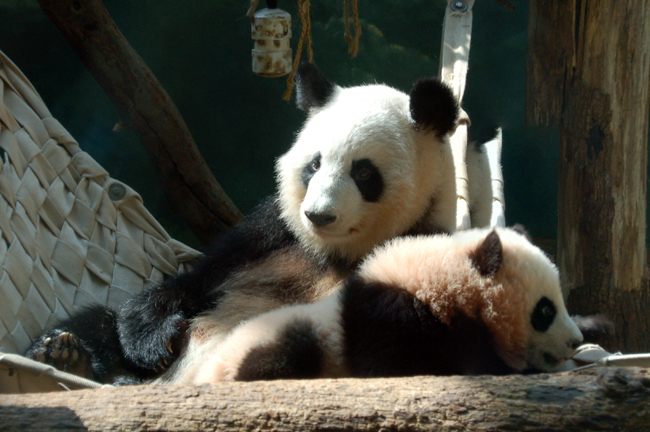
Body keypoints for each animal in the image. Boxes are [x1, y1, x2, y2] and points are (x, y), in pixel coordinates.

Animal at [25, 62, 458, 384]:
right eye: (314, 165)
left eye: (364, 173)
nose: (319, 215)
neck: (333, 252)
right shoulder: (271, 233)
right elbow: (197, 278)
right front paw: (150, 340)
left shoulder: (421, 253)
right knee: (97, 321)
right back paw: (66, 354)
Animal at [178, 228, 588, 384]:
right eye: (545, 311)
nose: (574, 341)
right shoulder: (389, 315)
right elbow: (399, 363)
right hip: (270, 342)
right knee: (281, 353)